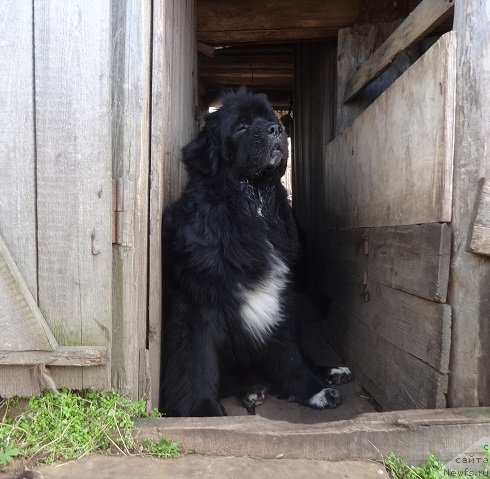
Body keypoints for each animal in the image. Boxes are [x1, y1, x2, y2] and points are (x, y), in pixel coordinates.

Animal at [161, 89, 348, 416]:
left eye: (269, 119)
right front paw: (202, 411)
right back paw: (250, 389)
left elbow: (290, 355)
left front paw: (313, 390)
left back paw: (329, 372)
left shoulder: (278, 297)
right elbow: (197, 361)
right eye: (242, 127)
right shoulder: (198, 302)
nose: (276, 129)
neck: (253, 208)